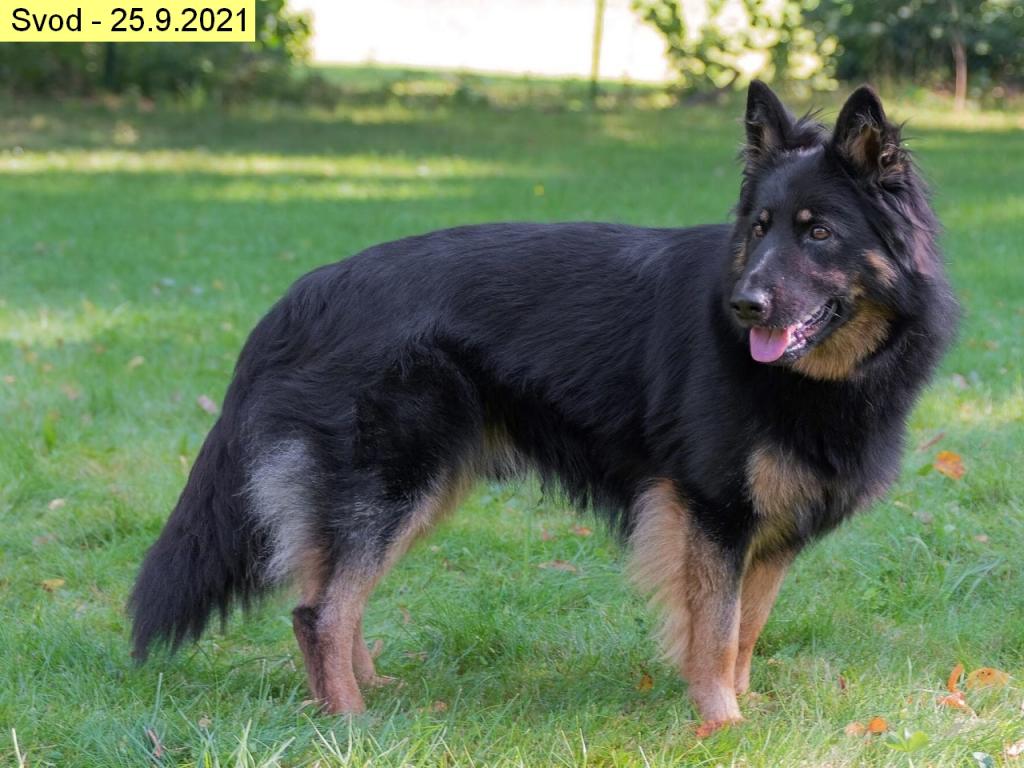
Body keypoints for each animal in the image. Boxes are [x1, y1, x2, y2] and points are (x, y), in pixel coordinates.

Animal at [129, 82, 958, 729]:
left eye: (817, 233)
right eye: (759, 230)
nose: (744, 305)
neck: (823, 375)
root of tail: (306, 293)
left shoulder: (768, 529)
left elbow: (748, 626)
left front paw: (744, 709)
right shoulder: (712, 511)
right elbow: (716, 630)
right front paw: (721, 724)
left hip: (417, 490)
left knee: (327, 592)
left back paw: (370, 688)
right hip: (393, 484)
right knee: (317, 610)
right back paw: (351, 722)